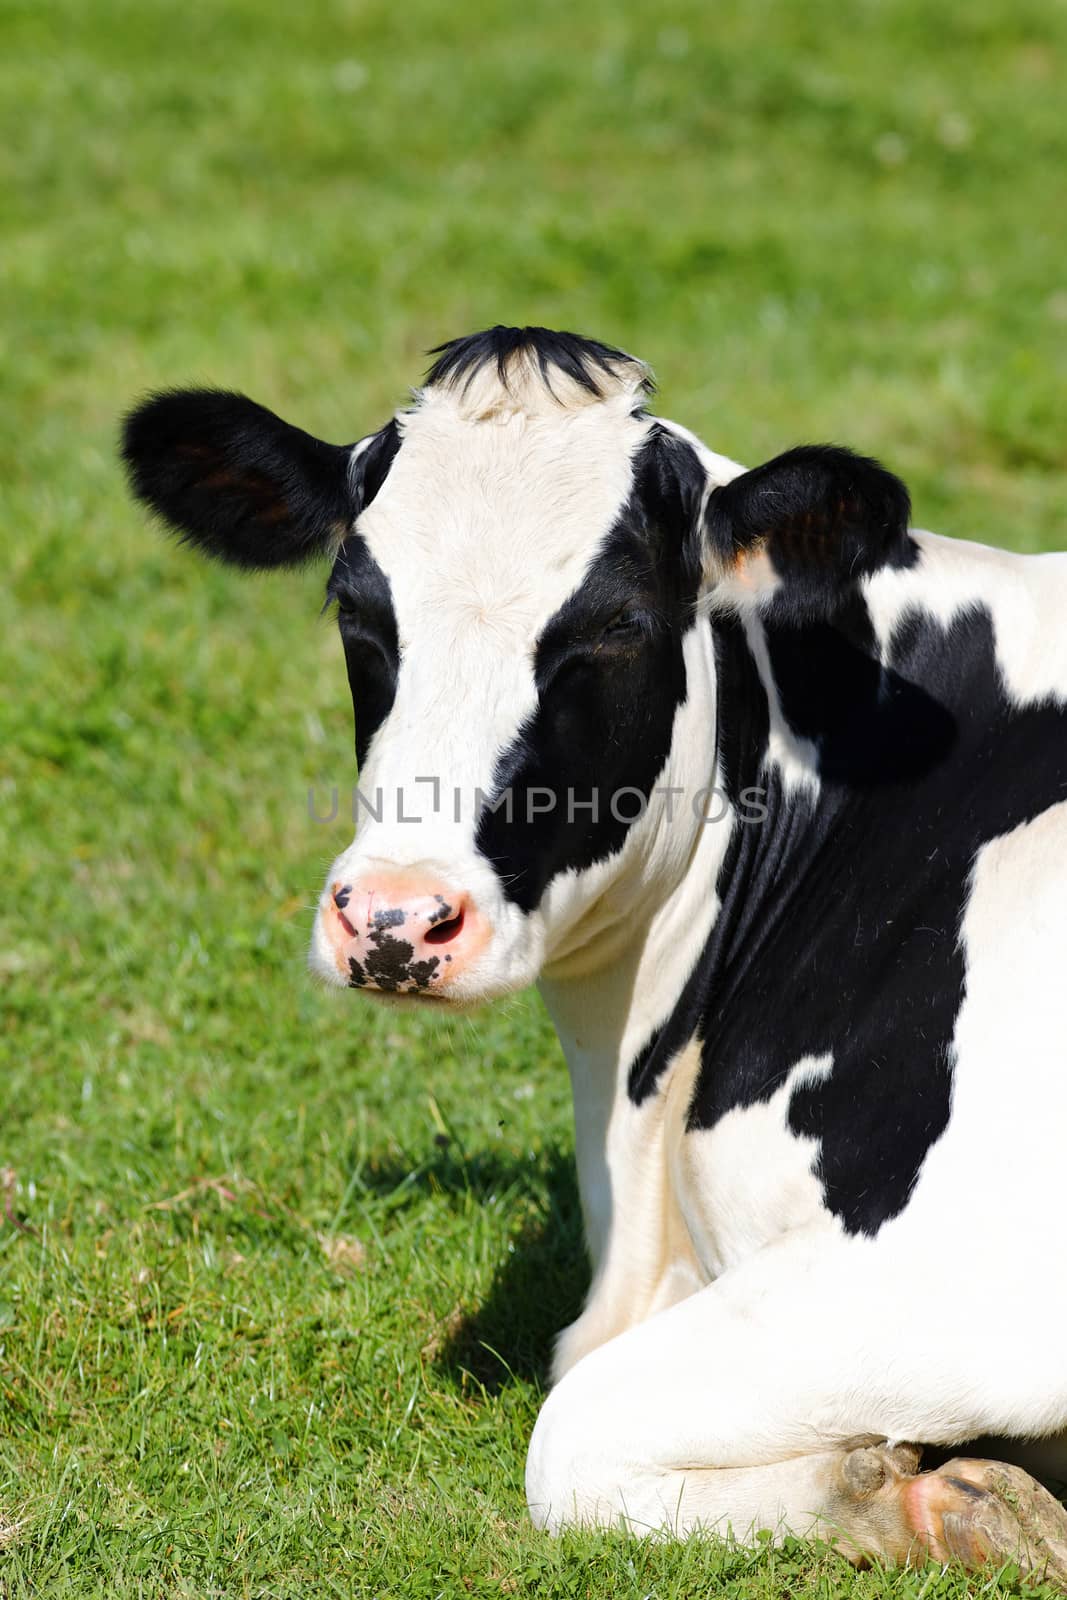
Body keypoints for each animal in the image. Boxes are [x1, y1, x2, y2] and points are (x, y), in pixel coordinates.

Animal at [123, 321, 1067, 1574]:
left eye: (615, 628)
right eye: (354, 610)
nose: (393, 918)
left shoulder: (961, 1270)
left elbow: (569, 1436)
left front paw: (918, 1495)